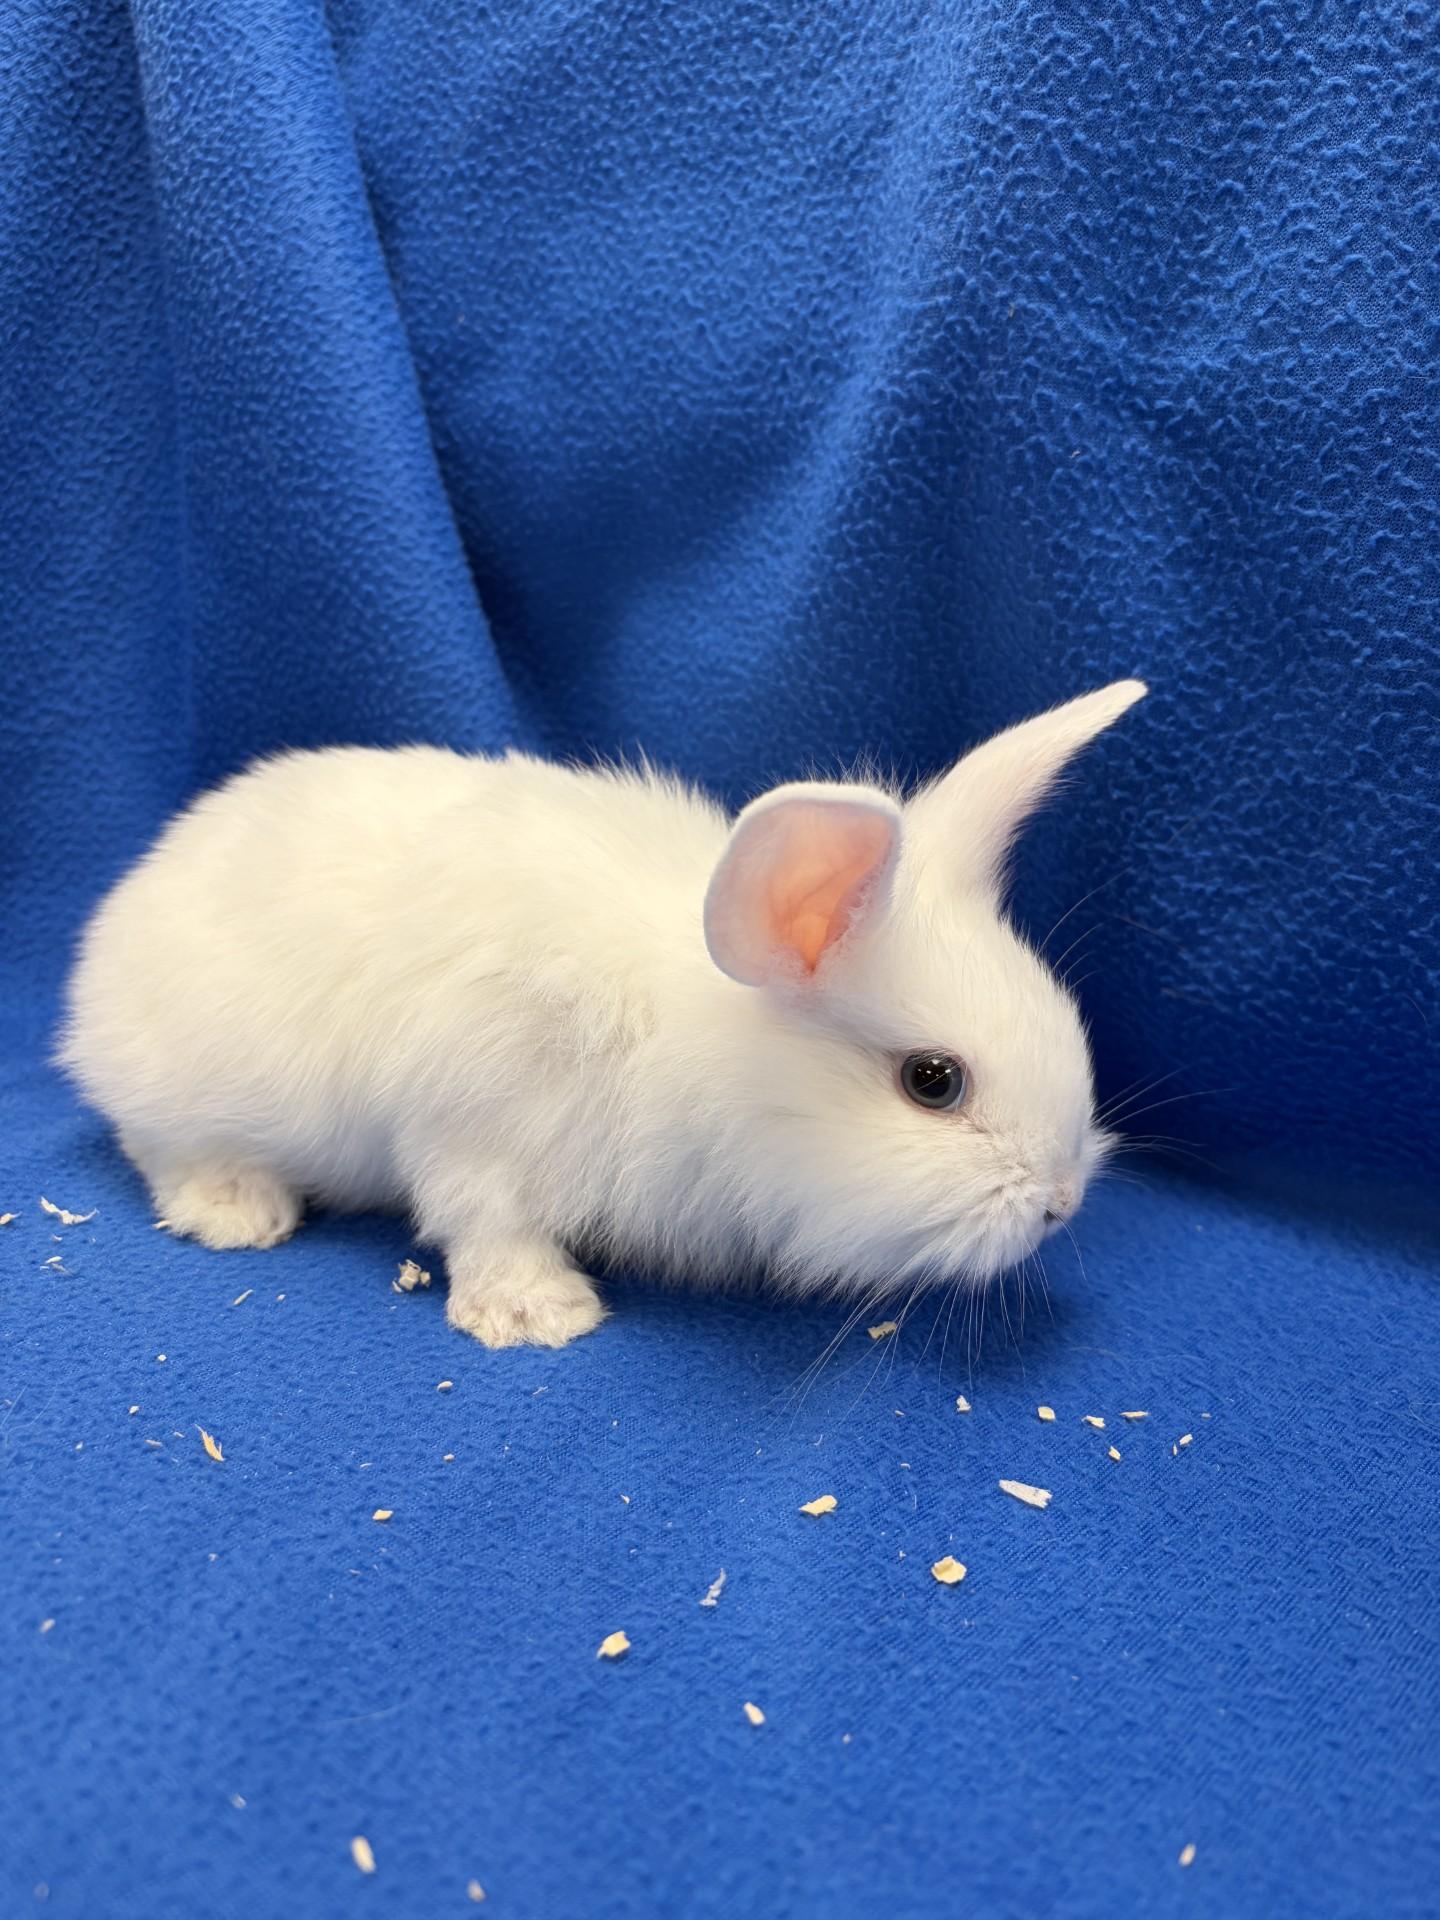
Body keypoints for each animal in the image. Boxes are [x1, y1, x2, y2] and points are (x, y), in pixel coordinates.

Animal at [58, 679, 1147, 1348]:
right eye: (933, 1082)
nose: (1060, 1203)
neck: (685, 1035)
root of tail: (105, 944)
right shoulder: (475, 1120)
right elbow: (483, 1219)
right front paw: (540, 1314)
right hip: (186, 1088)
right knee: (160, 1145)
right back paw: (239, 1211)